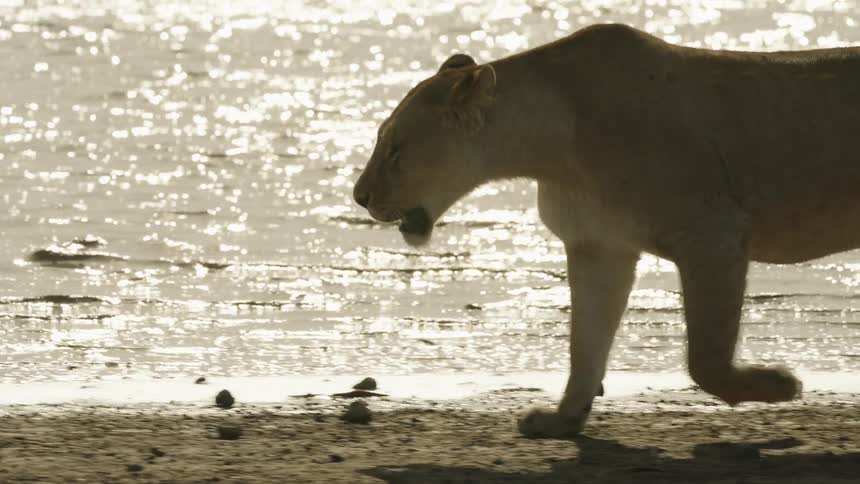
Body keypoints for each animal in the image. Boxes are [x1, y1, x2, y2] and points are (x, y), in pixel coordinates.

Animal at [352, 23, 860, 438]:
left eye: (395, 150)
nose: (358, 196)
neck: (549, 150)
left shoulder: (713, 234)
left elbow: (705, 358)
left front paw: (781, 385)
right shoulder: (599, 248)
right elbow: (585, 343)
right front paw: (562, 420)